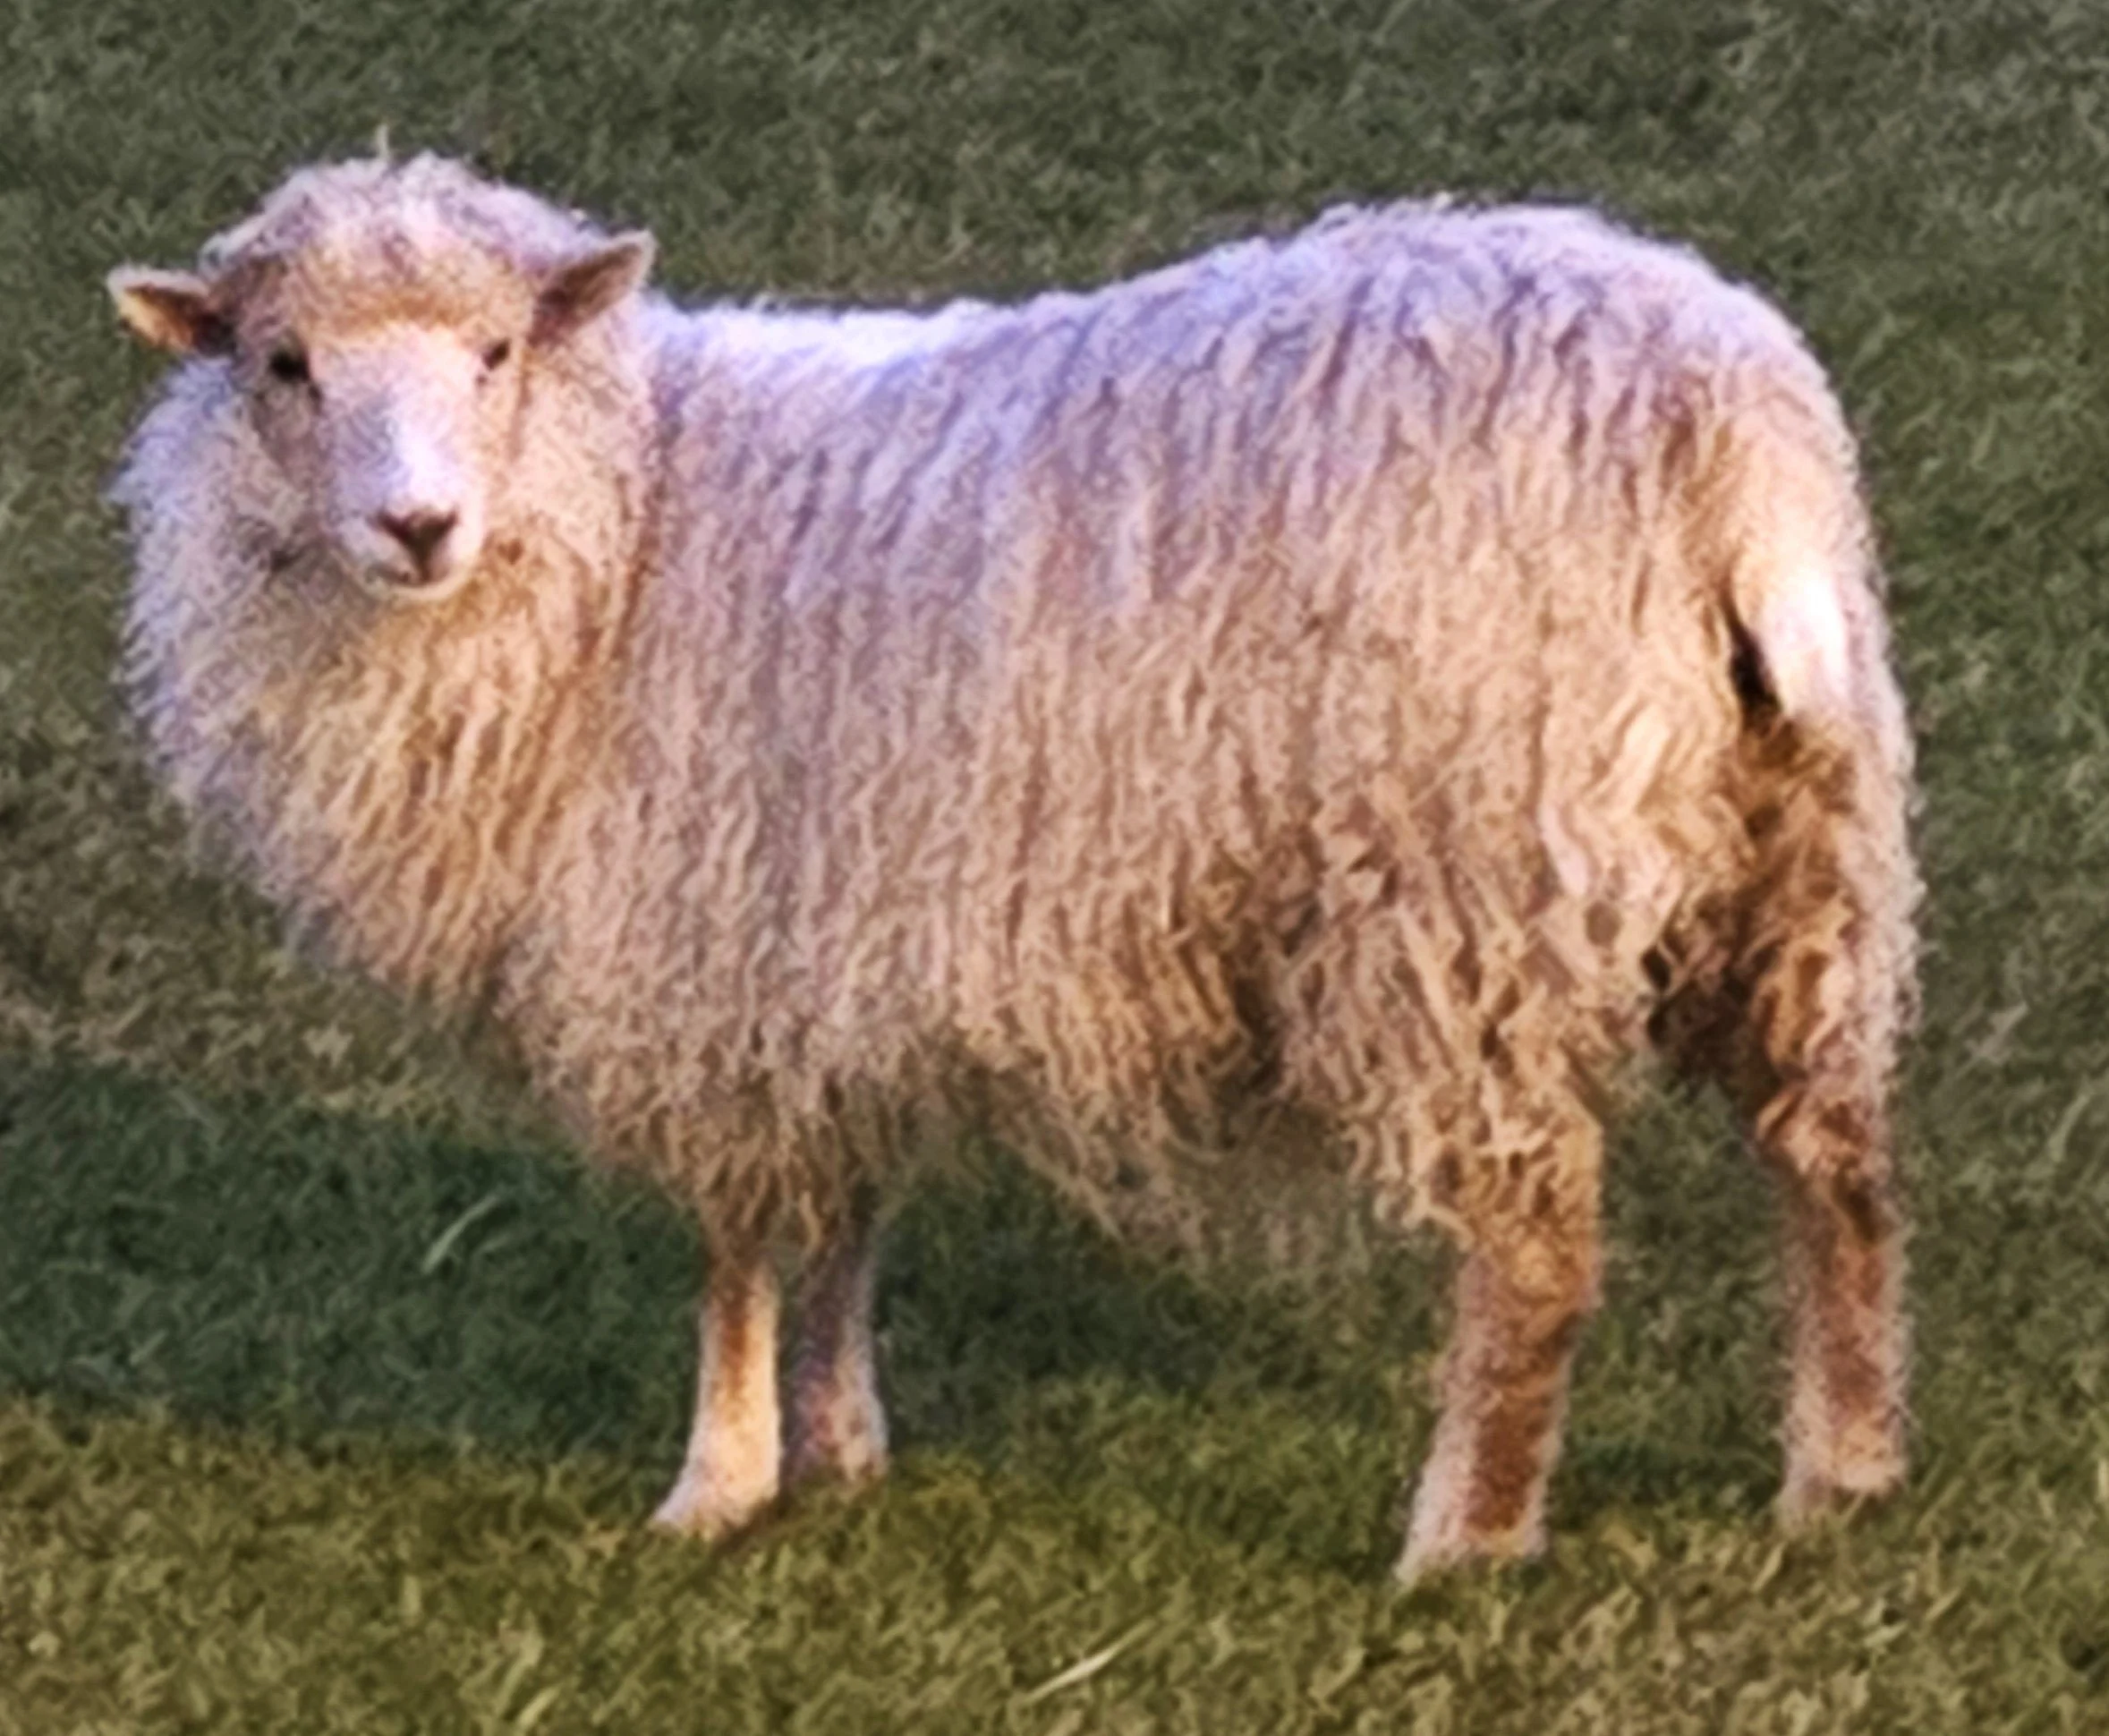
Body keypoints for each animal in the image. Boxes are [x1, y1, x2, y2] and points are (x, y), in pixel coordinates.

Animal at [106, 152, 1919, 1579]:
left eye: (494, 352)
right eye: (282, 363)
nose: (415, 529)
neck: (630, 515)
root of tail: (1718, 416)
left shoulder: (703, 943)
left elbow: (733, 1249)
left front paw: (717, 1485)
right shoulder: (819, 959)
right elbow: (836, 1218)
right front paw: (839, 1448)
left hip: (1466, 880)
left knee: (1536, 1247)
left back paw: (1459, 1544)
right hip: (1793, 843)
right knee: (1832, 1164)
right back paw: (1837, 1474)